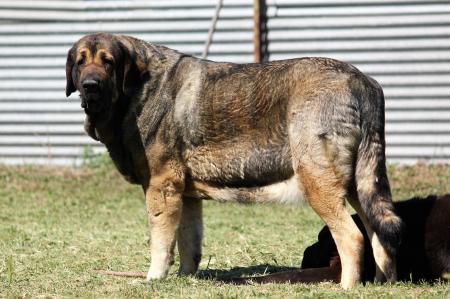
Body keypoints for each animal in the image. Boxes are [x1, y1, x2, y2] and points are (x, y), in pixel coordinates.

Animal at [65, 33, 402, 290]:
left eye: (108, 61)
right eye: (80, 62)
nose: (90, 85)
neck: (137, 88)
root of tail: (363, 83)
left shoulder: (162, 188)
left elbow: (161, 243)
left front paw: (153, 279)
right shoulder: (186, 196)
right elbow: (189, 243)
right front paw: (185, 278)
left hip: (319, 184)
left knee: (352, 237)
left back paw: (346, 287)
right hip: (360, 186)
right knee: (378, 235)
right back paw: (383, 282)